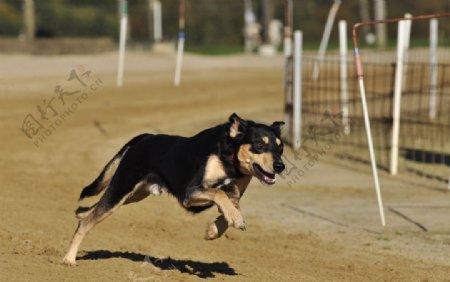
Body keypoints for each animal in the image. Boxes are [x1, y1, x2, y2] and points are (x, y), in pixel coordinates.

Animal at [62, 113, 284, 266]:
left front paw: (215, 229)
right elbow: (219, 194)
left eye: (281, 147)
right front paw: (235, 220)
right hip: (121, 189)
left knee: (88, 212)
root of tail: (145, 137)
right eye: (259, 143)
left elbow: (229, 206)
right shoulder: (190, 193)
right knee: (87, 223)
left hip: (133, 194)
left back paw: (80, 215)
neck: (230, 159)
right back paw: (69, 259)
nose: (280, 166)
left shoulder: (234, 194)